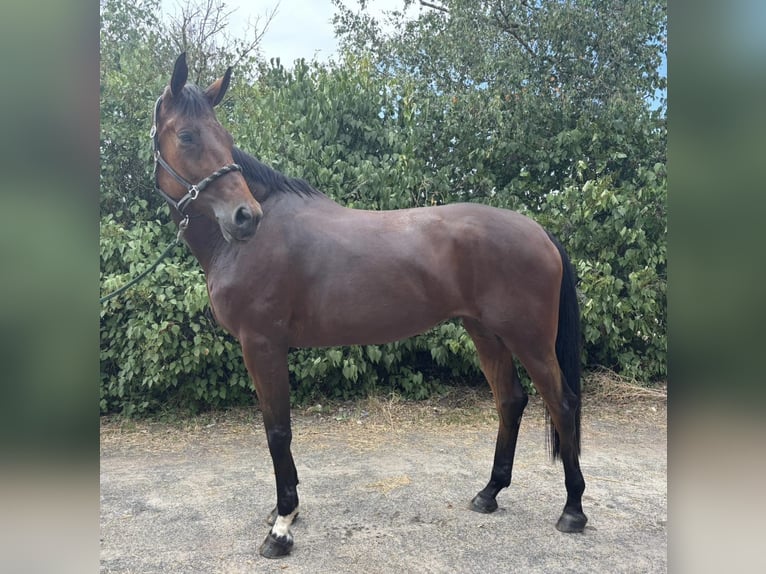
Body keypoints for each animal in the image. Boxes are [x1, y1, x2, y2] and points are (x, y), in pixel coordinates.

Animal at [150, 52, 587, 559]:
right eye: (188, 135)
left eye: (225, 138)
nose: (245, 217)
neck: (252, 240)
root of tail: (540, 232)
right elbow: (275, 429)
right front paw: (285, 510)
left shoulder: (261, 345)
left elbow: (278, 431)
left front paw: (281, 527)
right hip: (485, 333)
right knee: (510, 401)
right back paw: (489, 493)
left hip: (530, 340)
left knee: (563, 403)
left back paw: (573, 510)